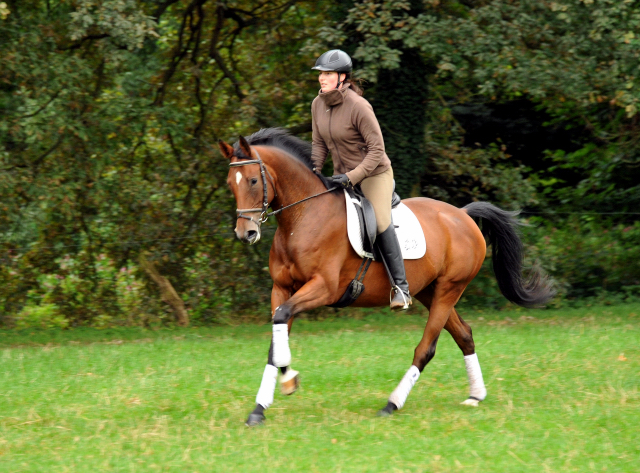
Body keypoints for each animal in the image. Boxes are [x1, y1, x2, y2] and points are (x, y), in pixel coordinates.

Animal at [218, 127, 552, 426]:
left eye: (252, 180)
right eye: (230, 184)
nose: (245, 233)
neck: (302, 217)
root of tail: (463, 215)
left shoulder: (322, 288)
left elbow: (282, 319)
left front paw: (289, 379)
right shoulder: (282, 288)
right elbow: (275, 340)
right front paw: (260, 407)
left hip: (449, 289)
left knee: (426, 348)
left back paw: (392, 404)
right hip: (429, 291)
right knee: (464, 335)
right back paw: (475, 395)